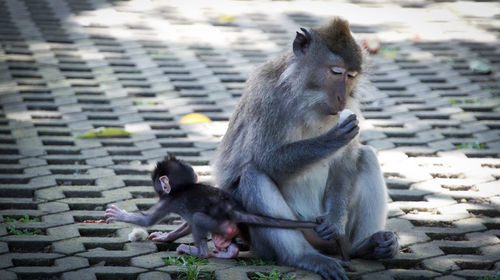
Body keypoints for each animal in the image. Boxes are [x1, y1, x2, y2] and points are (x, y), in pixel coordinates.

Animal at [106, 155, 352, 262]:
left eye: (157, 183)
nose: (158, 187)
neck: (183, 187)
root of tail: (232, 209)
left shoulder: (167, 201)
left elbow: (148, 220)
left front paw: (120, 214)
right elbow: (184, 225)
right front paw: (166, 236)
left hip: (217, 222)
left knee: (198, 219)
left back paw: (198, 252)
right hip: (226, 227)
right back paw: (226, 252)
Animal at [214, 18, 398, 280]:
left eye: (351, 75)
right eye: (336, 72)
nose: (342, 97)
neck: (309, 99)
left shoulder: (352, 106)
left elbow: (345, 162)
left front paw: (335, 219)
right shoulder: (267, 100)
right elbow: (264, 160)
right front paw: (331, 140)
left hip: (334, 237)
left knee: (367, 156)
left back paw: (366, 246)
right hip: (281, 236)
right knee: (253, 175)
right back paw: (304, 257)